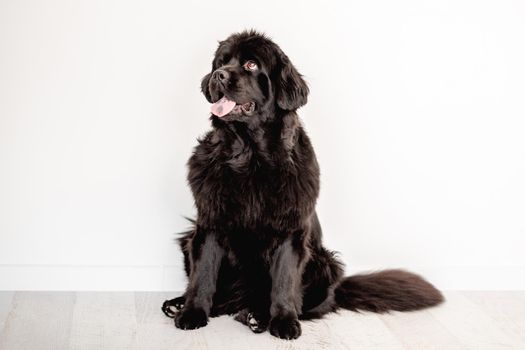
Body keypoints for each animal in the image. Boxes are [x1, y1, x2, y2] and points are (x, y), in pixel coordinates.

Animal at [161, 30, 442, 340]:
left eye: (250, 65)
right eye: (221, 62)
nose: (219, 76)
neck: (250, 157)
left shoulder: (291, 230)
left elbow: (285, 280)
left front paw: (284, 321)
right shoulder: (210, 223)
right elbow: (203, 274)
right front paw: (192, 313)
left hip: (325, 263)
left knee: (303, 304)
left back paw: (258, 315)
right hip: (189, 239)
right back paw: (183, 304)